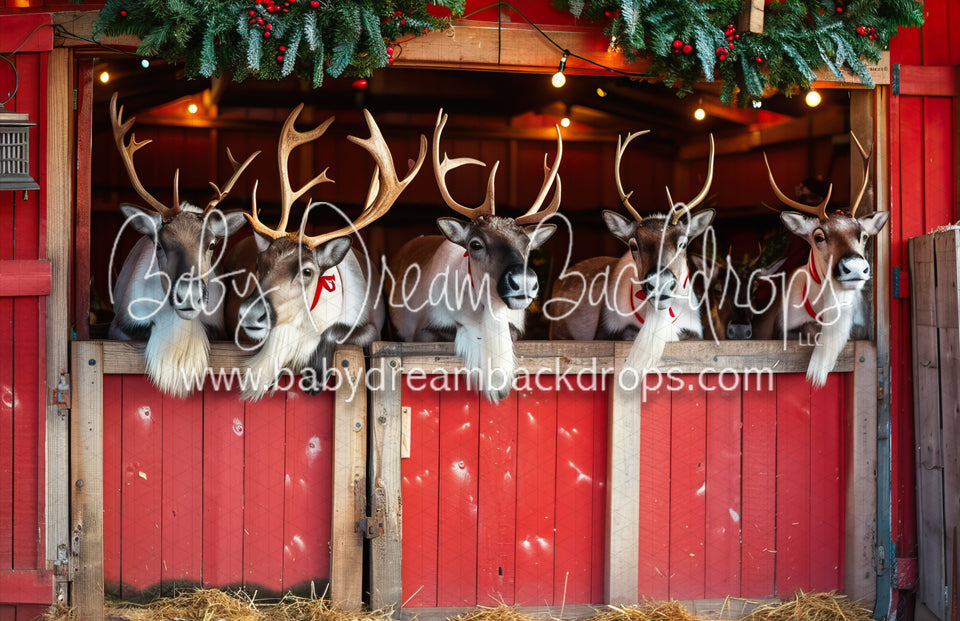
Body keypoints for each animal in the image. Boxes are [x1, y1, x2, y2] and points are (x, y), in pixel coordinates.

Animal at [228, 106, 427, 400]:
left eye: (308, 271)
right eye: (258, 263)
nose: (250, 314)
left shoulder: (371, 330)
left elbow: (333, 332)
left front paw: (315, 377)